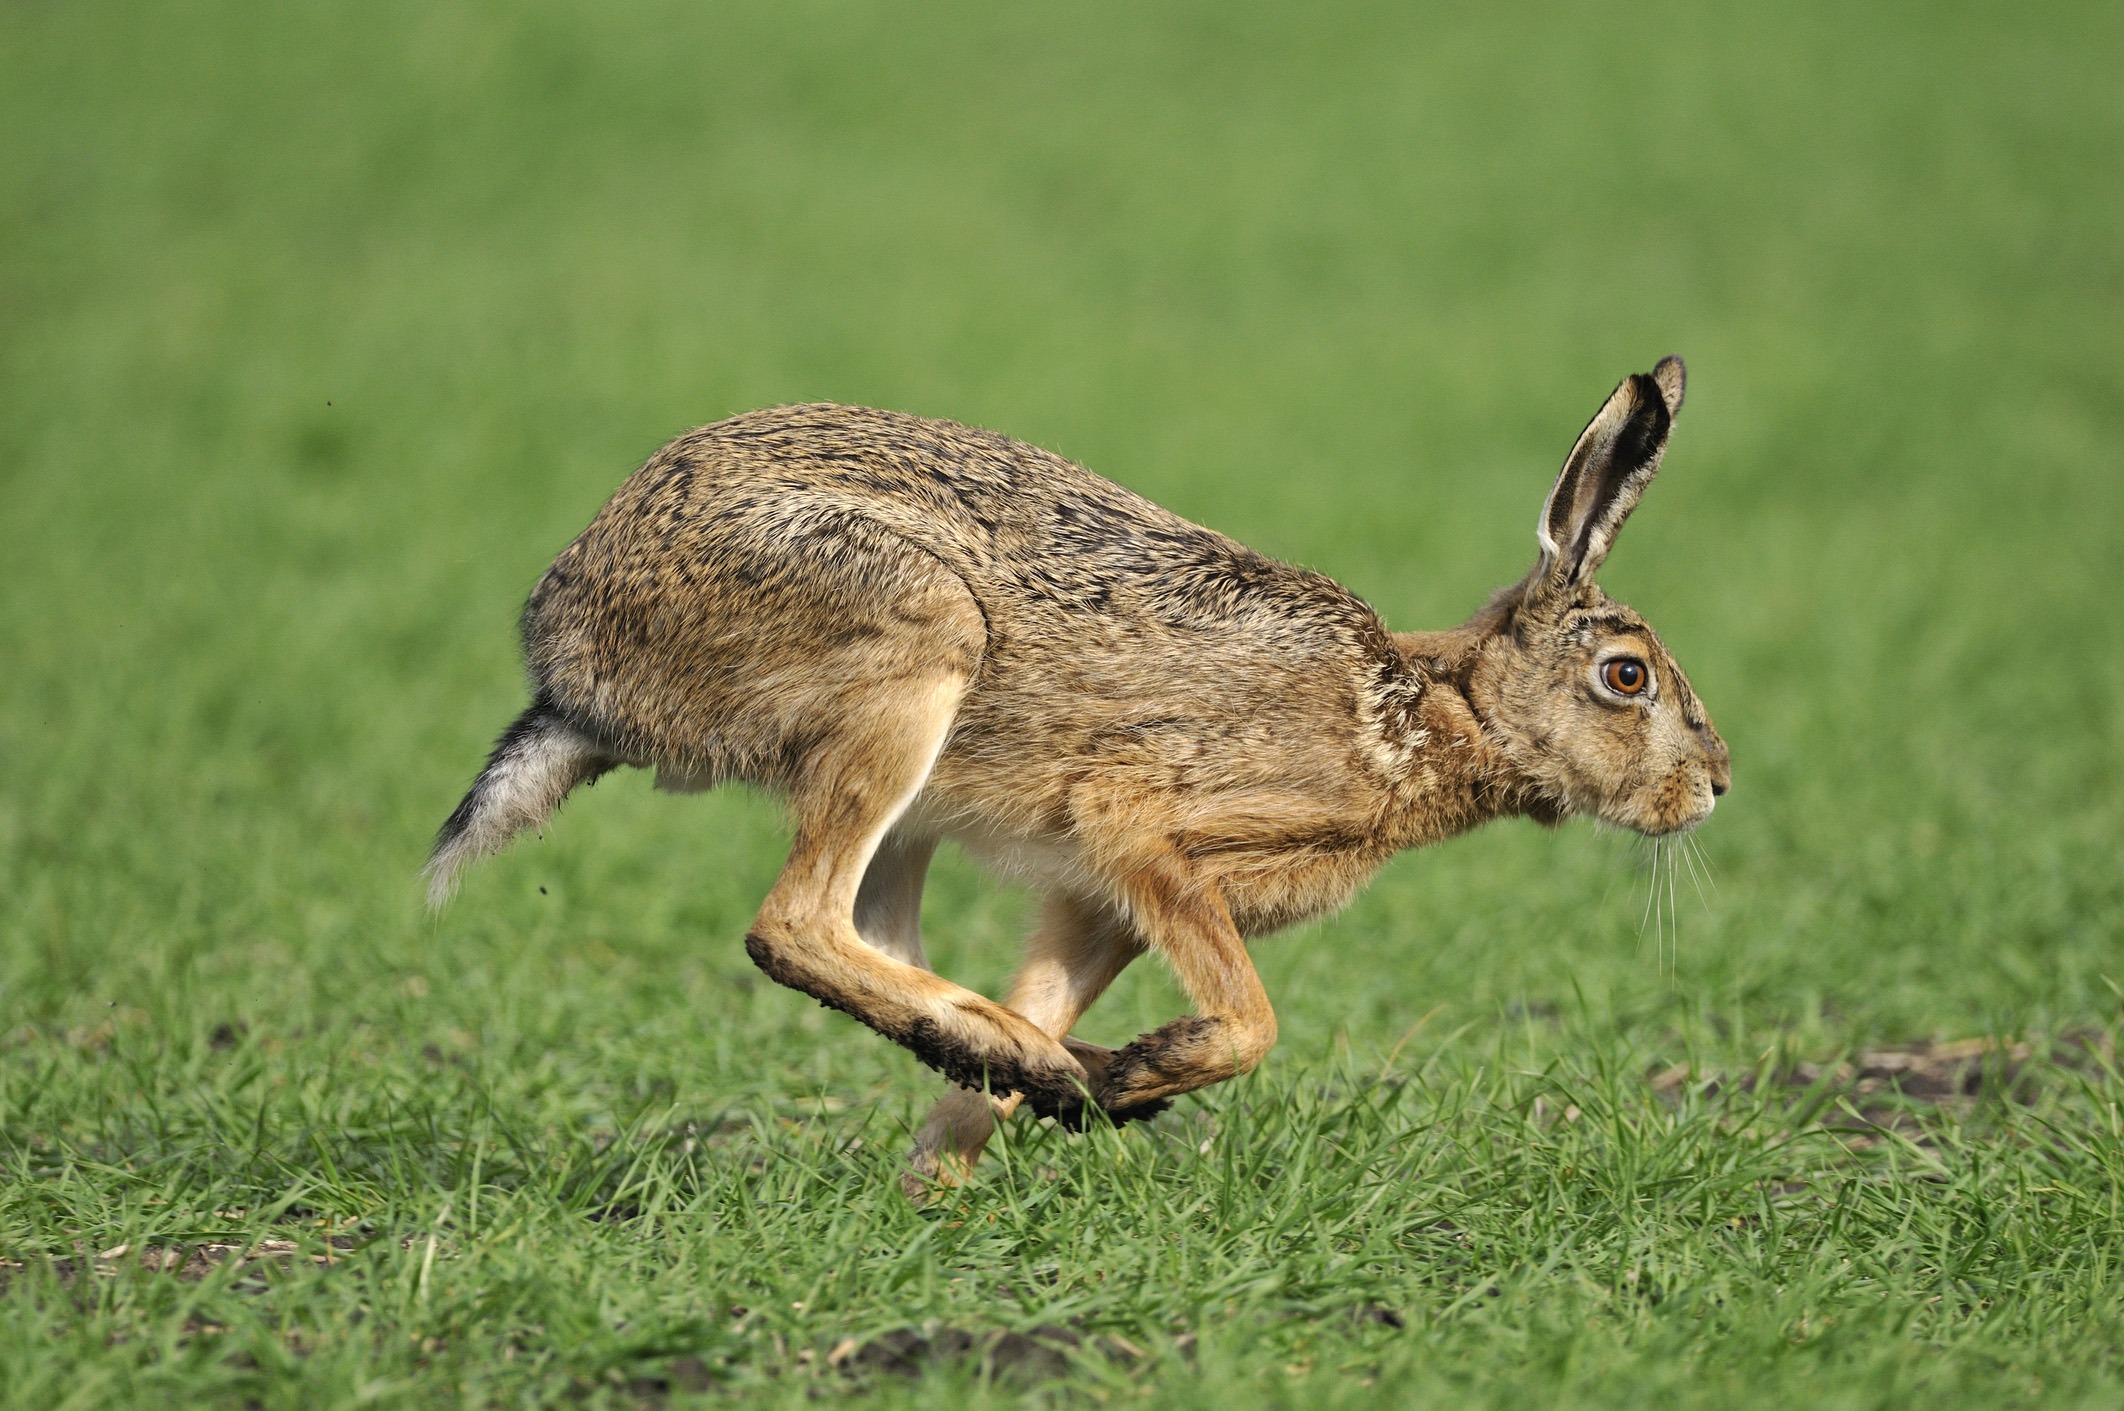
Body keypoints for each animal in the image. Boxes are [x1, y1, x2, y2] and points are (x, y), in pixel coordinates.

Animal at [425, 356, 1728, 1188]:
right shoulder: (1143, 825)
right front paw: (1136, 1070)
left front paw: (957, 1167)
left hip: (911, 786)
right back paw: (1041, 1059)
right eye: (1625, 677)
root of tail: (574, 651)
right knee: (793, 924)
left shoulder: (1102, 899)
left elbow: (1052, 994)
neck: (1428, 713)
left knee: (877, 939)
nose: (1715, 785)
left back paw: (1023, 1061)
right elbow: (1252, 1020)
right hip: (913, 650)